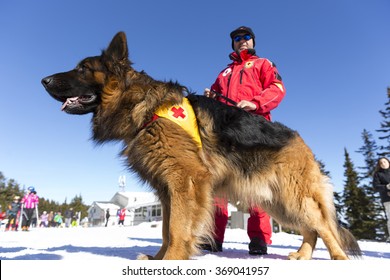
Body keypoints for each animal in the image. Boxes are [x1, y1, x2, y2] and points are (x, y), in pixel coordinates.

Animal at [41, 32, 362, 260]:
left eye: (82, 68)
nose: (43, 80)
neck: (144, 105)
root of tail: (301, 140)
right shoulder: (168, 189)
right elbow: (166, 229)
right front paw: (158, 261)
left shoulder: (185, 181)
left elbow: (178, 229)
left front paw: (171, 262)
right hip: (277, 202)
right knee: (312, 229)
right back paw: (303, 256)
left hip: (293, 197)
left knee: (324, 227)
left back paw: (339, 260)